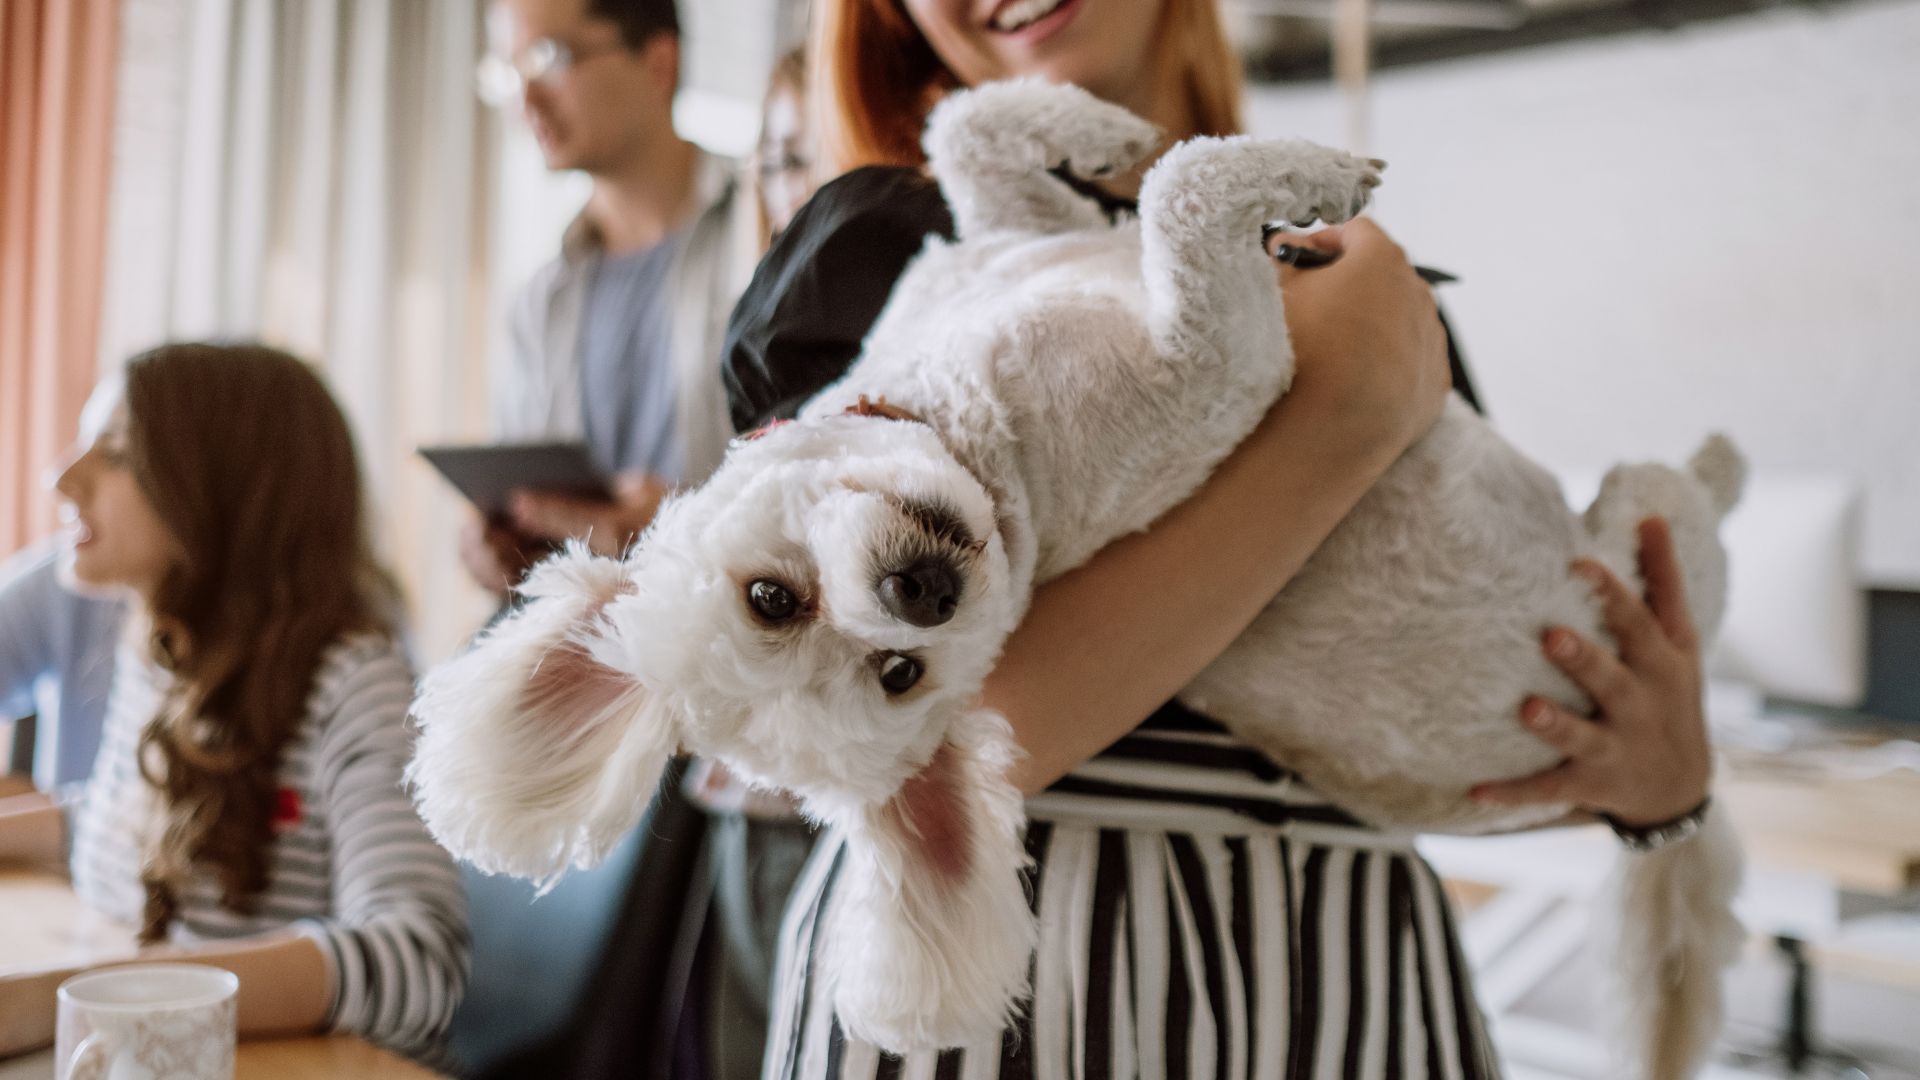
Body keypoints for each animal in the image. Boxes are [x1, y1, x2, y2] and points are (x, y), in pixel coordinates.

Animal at [412, 82, 1751, 1068]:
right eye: (901, 679)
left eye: (769, 600)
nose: (923, 597)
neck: (968, 408)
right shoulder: (1230, 370)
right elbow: (1183, 191)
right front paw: (1311, 170)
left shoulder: (1004, 244)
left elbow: (976, 135)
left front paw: (1099, 127)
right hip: (1650, 546)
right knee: (1679, 510)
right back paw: (1720, 461)